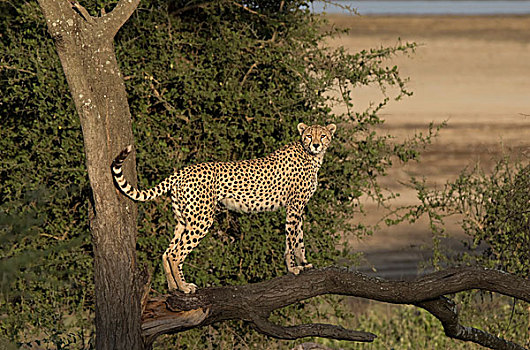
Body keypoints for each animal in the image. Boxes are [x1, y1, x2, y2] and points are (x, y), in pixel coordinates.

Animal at [111, 123, 334, 292]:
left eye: (322, 135)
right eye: (308, 136)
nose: (315, 144)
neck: (311, 156)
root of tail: (182, 171)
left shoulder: (298, 207)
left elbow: (299, 238)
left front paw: (304, 263)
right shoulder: (294, 206)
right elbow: (292, 237)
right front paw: (293, 267)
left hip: (184, 220)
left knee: (168, 251)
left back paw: (174, 286)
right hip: (201, 220)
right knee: (176, 253)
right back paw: (184, 287)